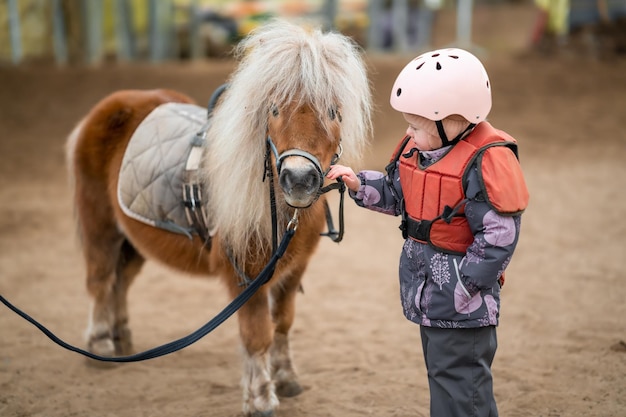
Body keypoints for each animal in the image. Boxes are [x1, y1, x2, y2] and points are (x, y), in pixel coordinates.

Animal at [65, 20, 370, 416]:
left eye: (332, 111)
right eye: (274, 110)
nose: (300, 179)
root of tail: (107, 108)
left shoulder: (293, 271)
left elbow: (283, 324)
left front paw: (286, 379)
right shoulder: (245, 275)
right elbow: (257, 335)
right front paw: (260, 398)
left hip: (134, 242)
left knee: (120, 283)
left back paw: (123, 342)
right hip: (101, 226)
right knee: (100, 280)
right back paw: (101, 344)